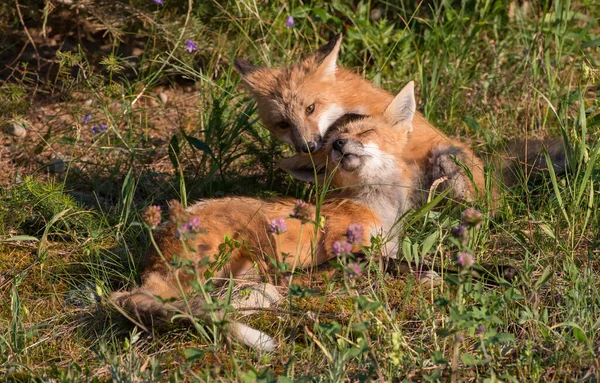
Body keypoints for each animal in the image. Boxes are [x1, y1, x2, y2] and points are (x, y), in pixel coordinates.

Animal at [112, 83, 420, 352]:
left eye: (366, 131)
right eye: (334, 143)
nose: (340, 144)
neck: (374, 206)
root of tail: (152, 265)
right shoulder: (341, 240)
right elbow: (383, 260)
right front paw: (415, 270)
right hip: (257, 229)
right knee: (285, 280)